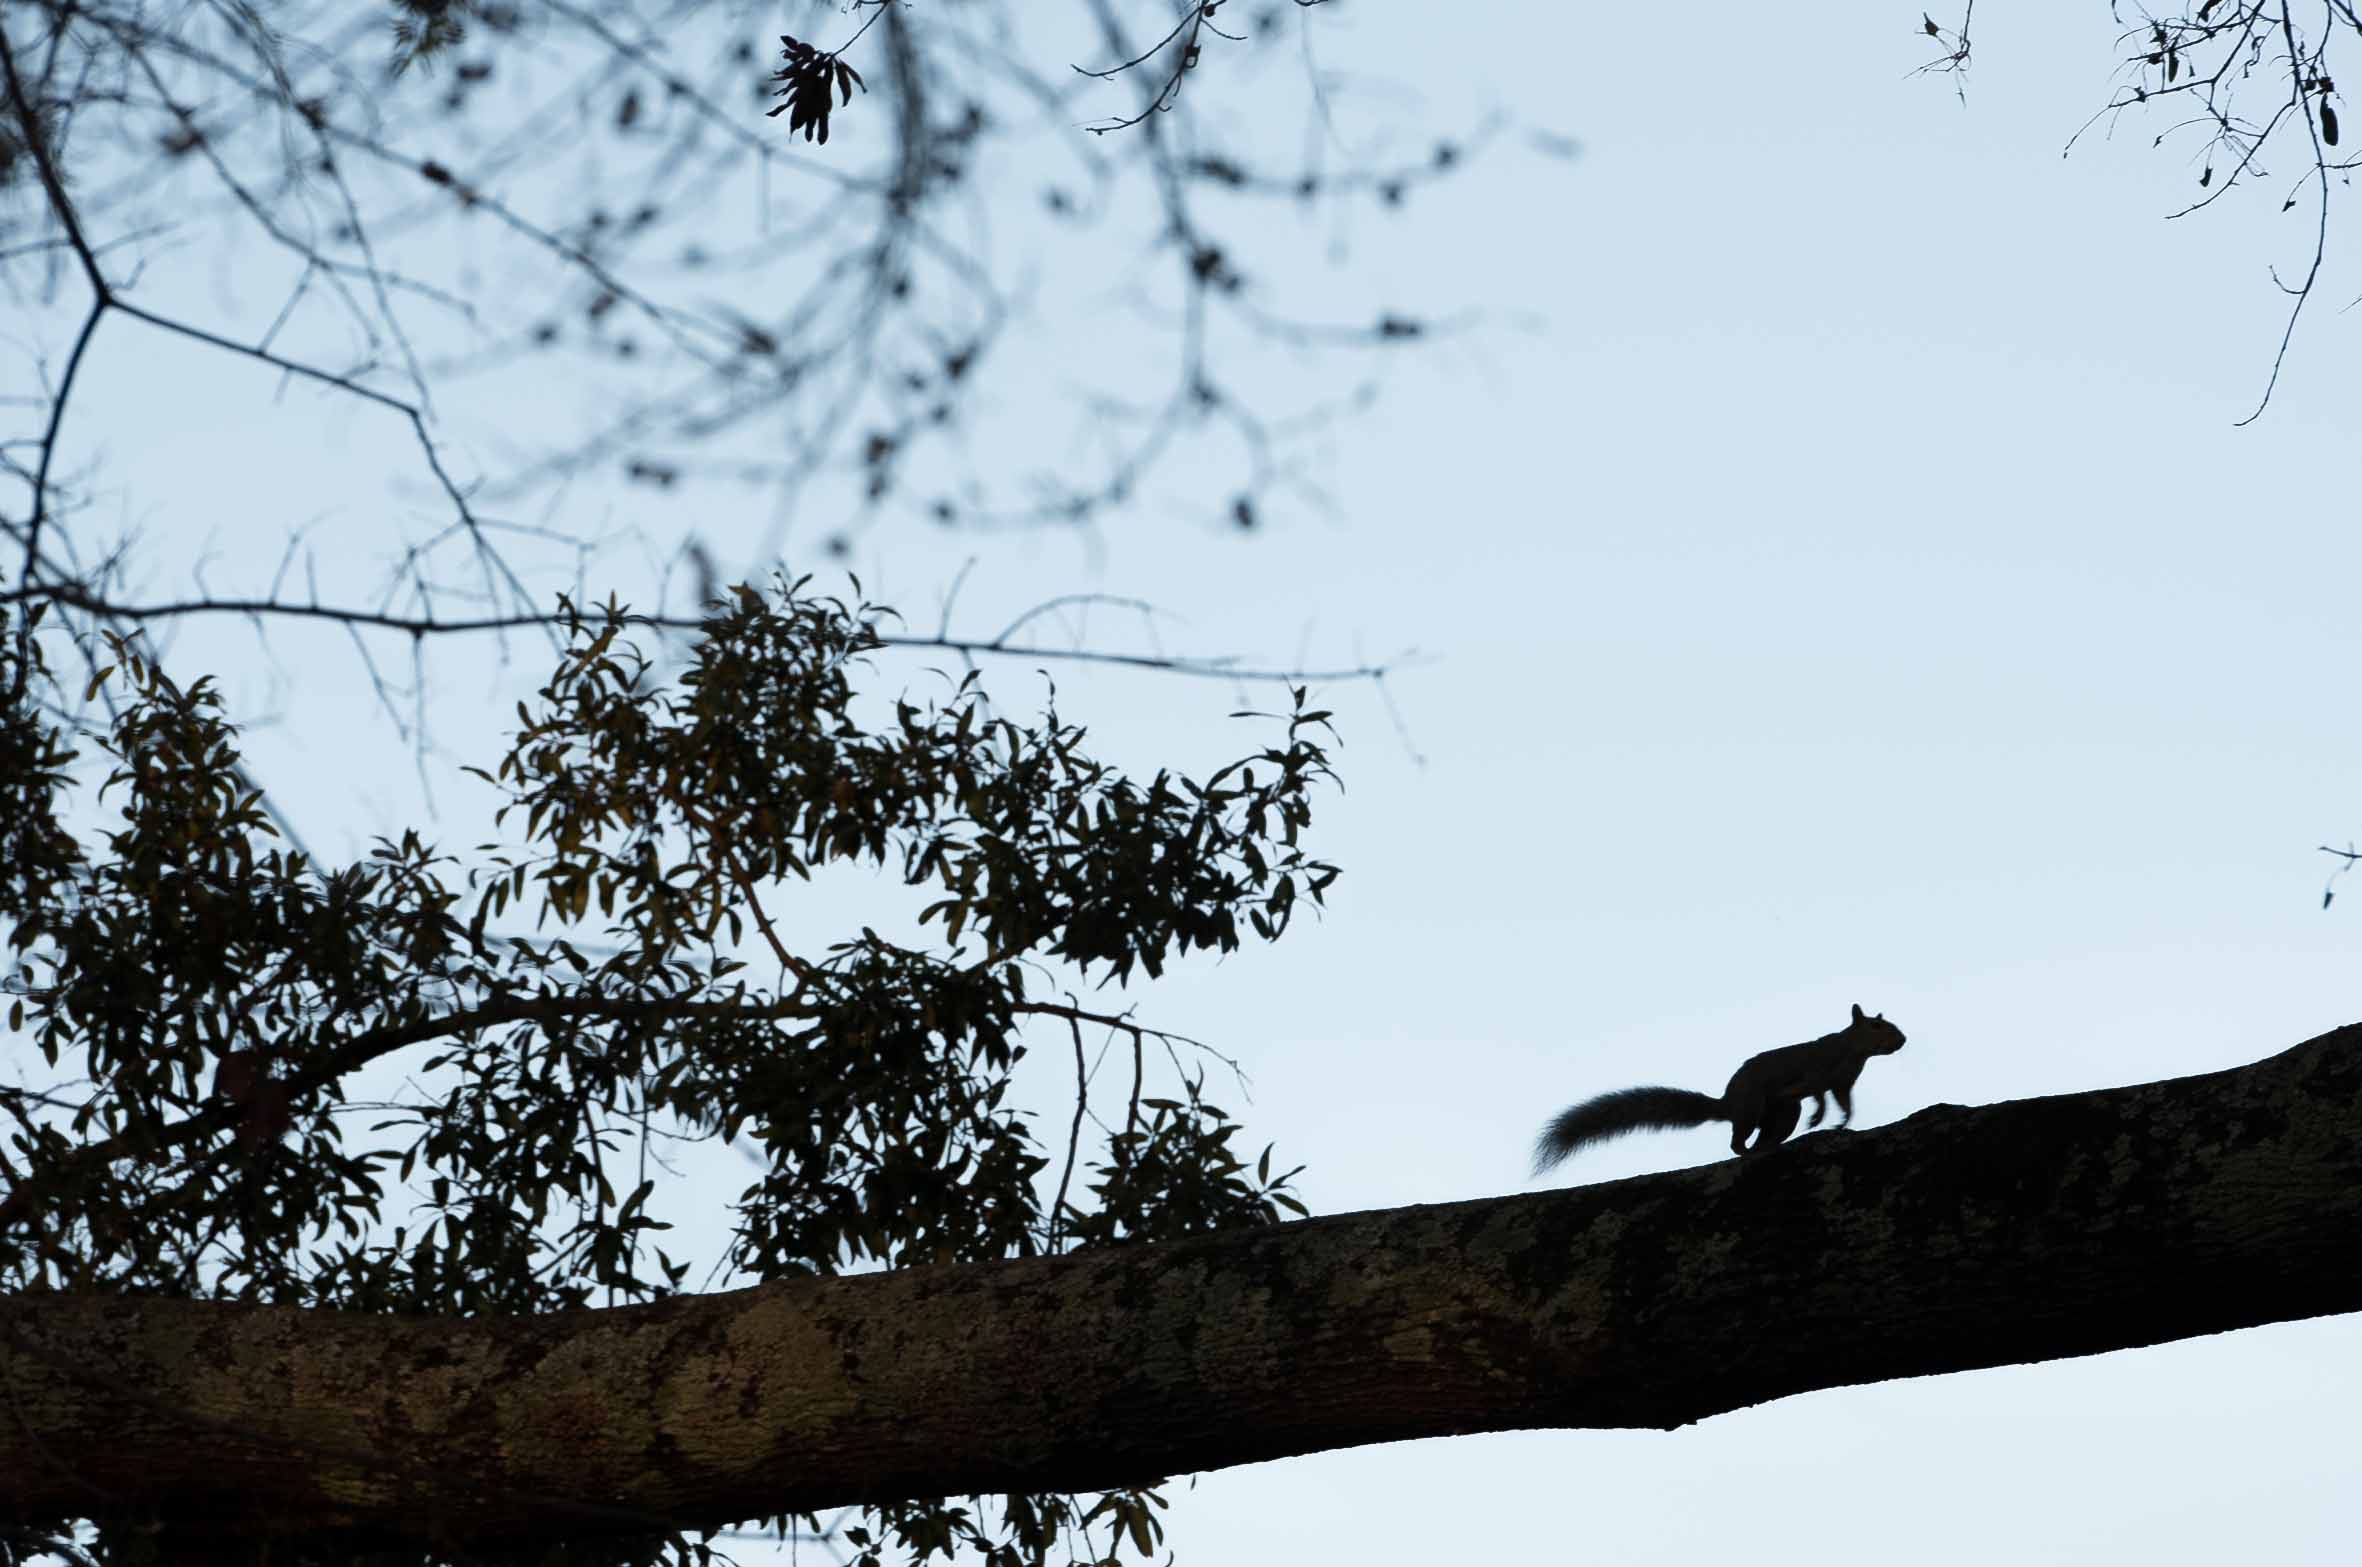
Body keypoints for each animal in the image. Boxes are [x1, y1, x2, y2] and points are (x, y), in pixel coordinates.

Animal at [1532, 1003, 1906, 1173]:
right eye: (1876, 1026)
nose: (1902, 1040)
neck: (1852, 1052)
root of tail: (1727, 1103)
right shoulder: (1815, 1069)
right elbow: (1817, 1092)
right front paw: (1820, 1117)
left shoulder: (1843, 1082)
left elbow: (1844, 1101)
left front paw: (1844, 1121)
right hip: (1753, 1107)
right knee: (1737, 1141)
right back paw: (1749, 1151)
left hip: (1782, 1115)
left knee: (1764, 1137)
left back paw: (1767, 1150)